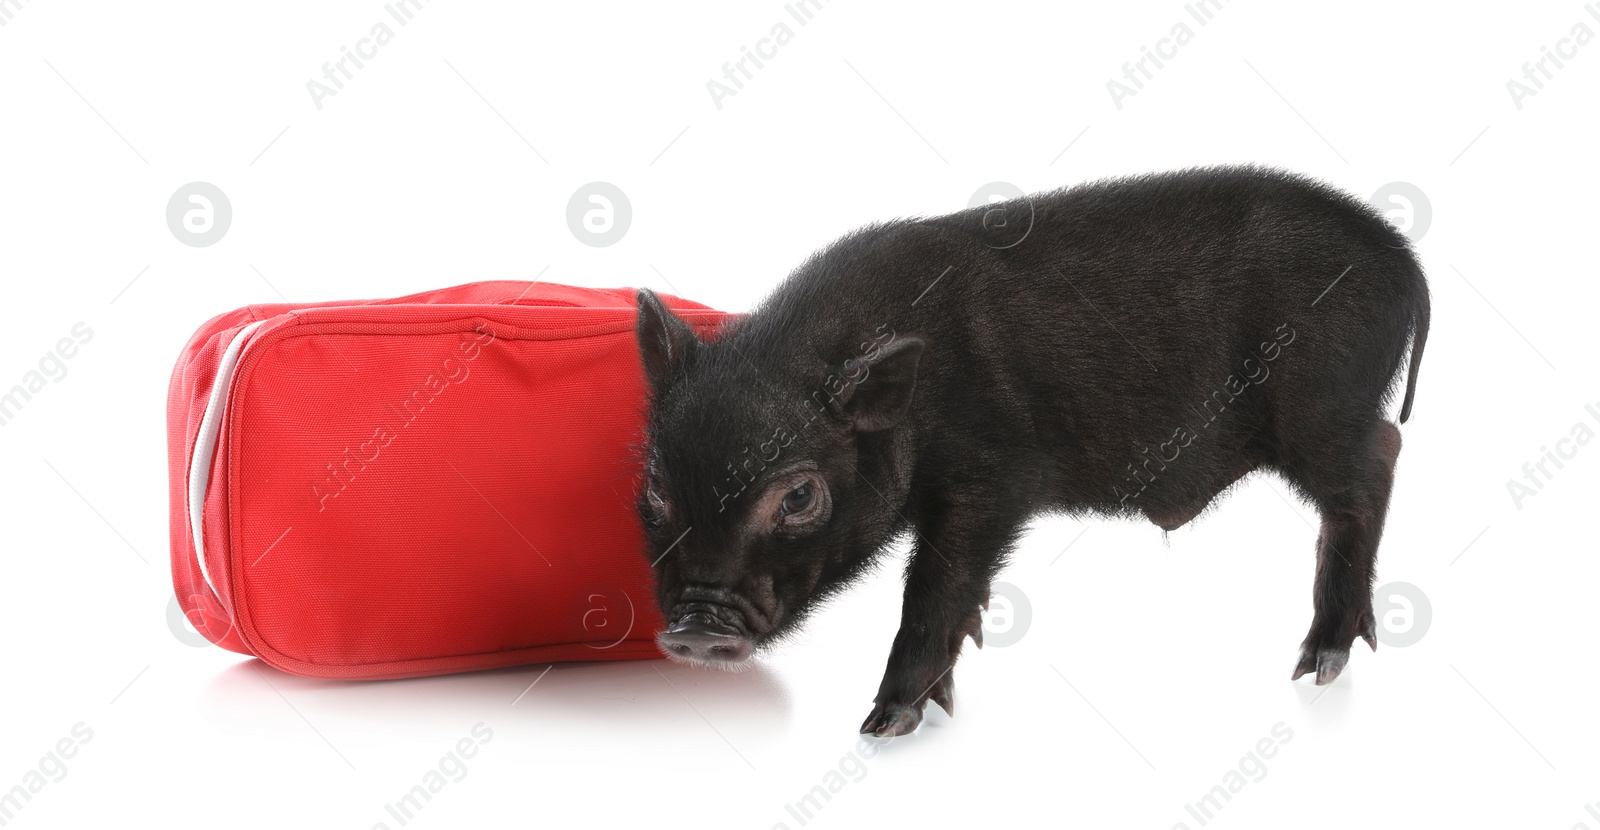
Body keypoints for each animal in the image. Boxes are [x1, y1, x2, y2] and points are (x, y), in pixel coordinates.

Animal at [630, 165, 1433, 738]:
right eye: (658, 488)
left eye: (798, 496)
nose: (696, 628)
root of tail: (1404, 260)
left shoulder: (993, 479)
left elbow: (936, 587)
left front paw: (883, 726)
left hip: (1323, 404)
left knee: (1379, 461)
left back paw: (1317, 667)